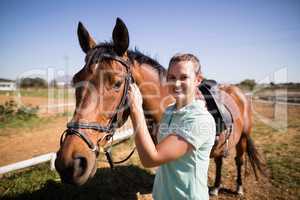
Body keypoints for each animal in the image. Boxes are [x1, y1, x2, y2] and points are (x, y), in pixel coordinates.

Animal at [54, 17, 262, 195]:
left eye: (117, 83)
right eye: (76, 80)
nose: (69, 164)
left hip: (243, 139)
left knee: (238, 160)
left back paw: (239, 188)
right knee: (219, 160)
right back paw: (216, 187)